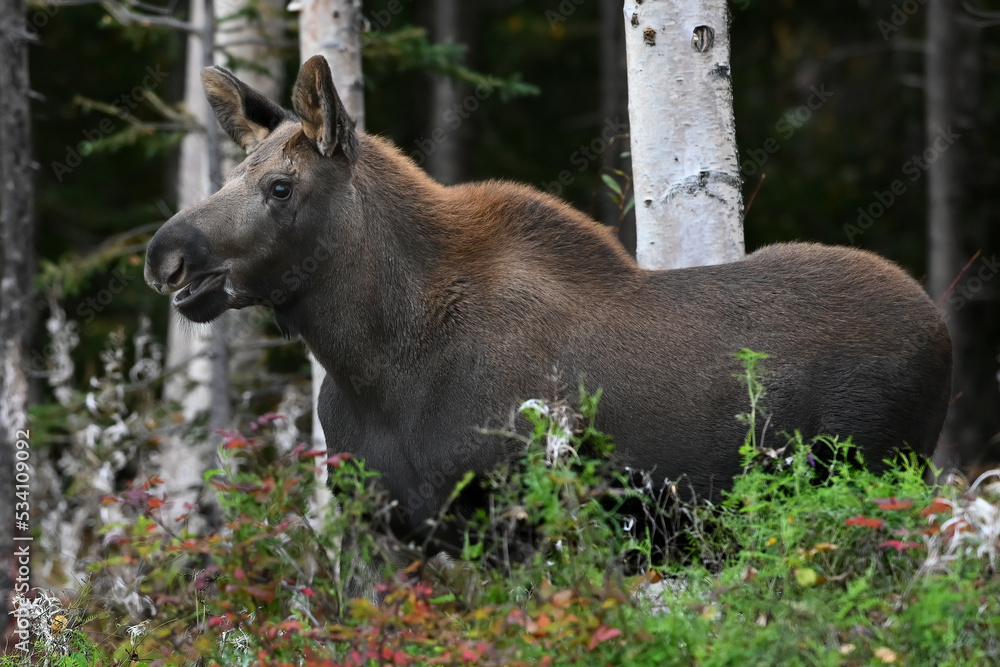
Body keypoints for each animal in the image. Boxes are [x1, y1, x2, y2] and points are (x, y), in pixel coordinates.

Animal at [145, 56, 953, 546]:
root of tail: (943, 330)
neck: (373, 364)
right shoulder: (390, 527)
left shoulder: (512, 517)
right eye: (230, 175)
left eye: (280, 186)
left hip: (879, 477)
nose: (166, 256)